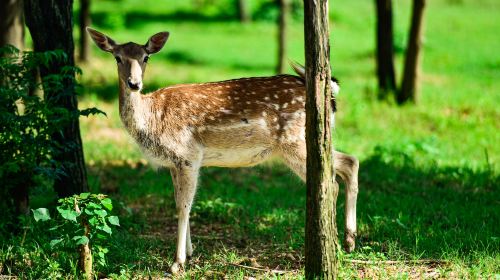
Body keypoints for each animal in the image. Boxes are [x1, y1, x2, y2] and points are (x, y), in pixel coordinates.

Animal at [87, 27, 360, 272]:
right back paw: (349, 240)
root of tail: (331, 96)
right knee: (350, 161)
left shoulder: (188, 154)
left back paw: (336, 243)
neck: (151, 118)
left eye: (146, 57)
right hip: (311, 141)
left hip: (295, 143)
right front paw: (190, 252)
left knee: (333, 180)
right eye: (117, 57)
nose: (134, 84)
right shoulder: (175, 162)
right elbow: (180, 202)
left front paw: (177, 263)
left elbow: (183, 206)